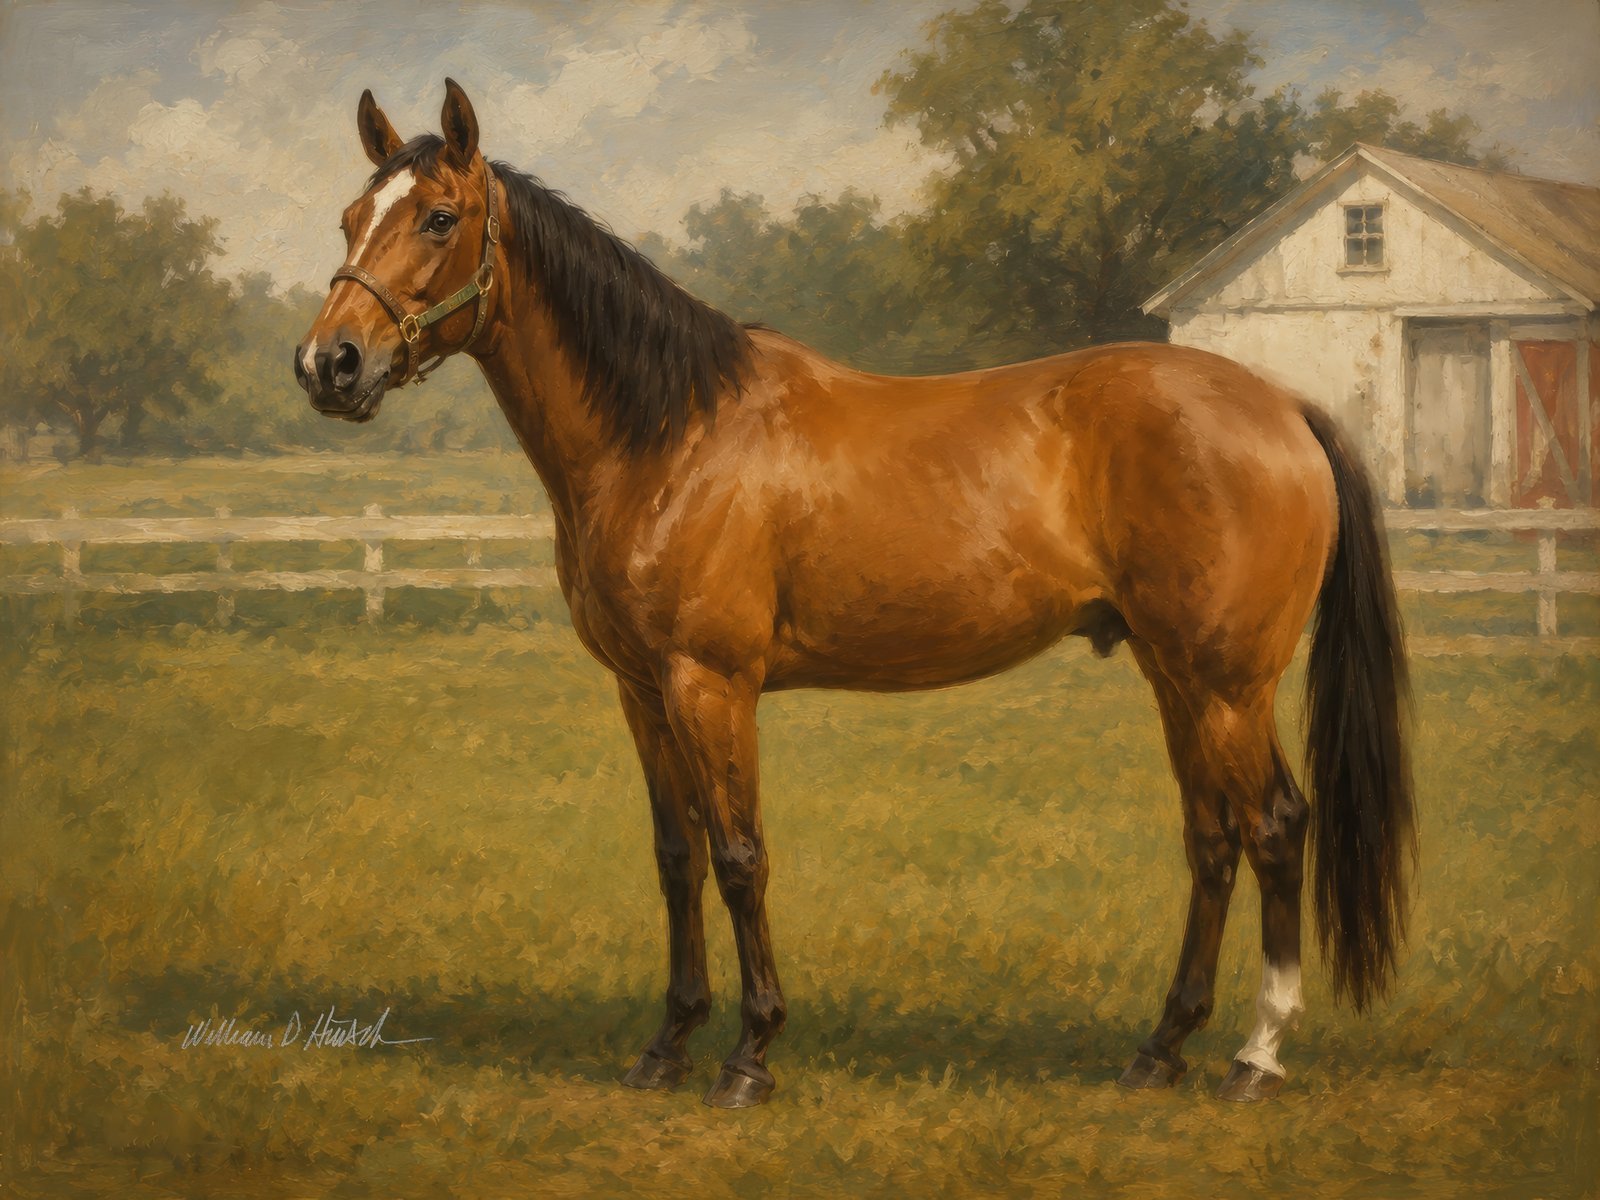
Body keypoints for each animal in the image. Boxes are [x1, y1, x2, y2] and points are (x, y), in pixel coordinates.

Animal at [295, 80, 1413, 1108]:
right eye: (350, 218)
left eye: (440, 218)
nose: (328, 364)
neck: (670, 432)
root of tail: (1284, 406)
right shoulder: (642, 690)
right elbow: (675, 857)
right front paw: (667, 1045)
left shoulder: (711, 683)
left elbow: (740, 856)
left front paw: (750, 1055)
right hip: (1175, 676)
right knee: (1213, 841)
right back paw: (1160, 1049)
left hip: (1227, 684)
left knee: (1274, 828)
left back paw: (1255, 1057)